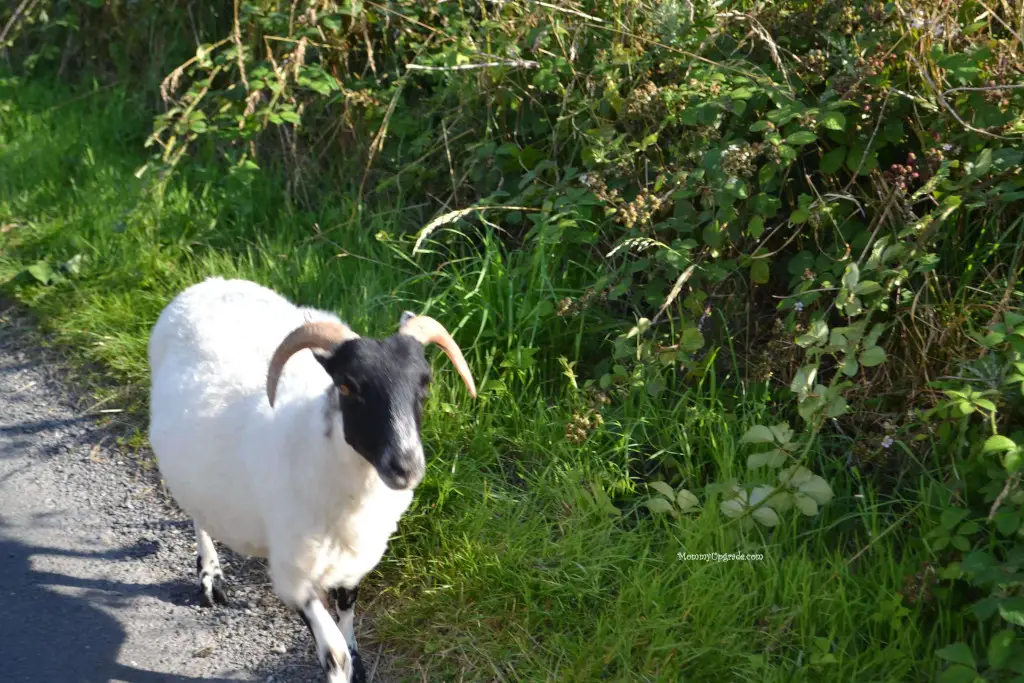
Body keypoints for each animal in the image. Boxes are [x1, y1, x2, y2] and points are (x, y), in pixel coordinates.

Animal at [146, 278, 477, 683]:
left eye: (424, 386)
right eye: (348, 386)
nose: (406, 467)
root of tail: (210, 282)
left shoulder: (353, 562)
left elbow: (347, 612)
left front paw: (358, 661)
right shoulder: (294, 576)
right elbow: (334, 654)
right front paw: (342, 666)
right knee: (198, 515)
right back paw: (211, 578)